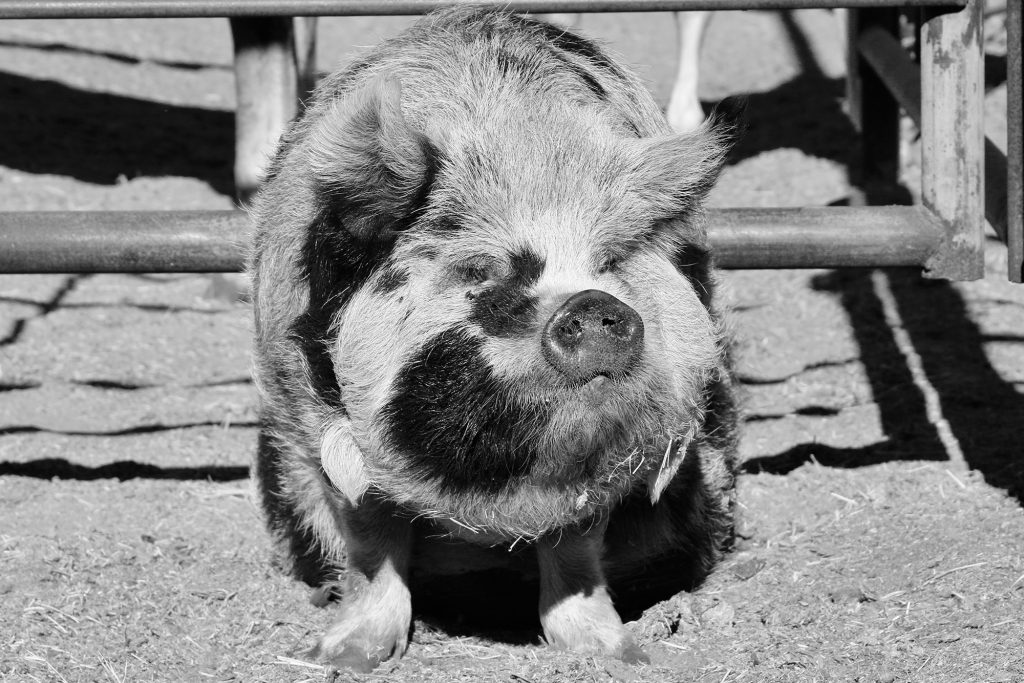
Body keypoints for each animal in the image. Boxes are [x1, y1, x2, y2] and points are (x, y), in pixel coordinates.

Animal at [249, 7, 741, 672]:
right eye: (477, 268)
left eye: (611, 262)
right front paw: (347, 659)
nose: (593, 304)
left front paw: (620, 655)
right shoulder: (313, 415)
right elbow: (371, 539)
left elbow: (577, 547)